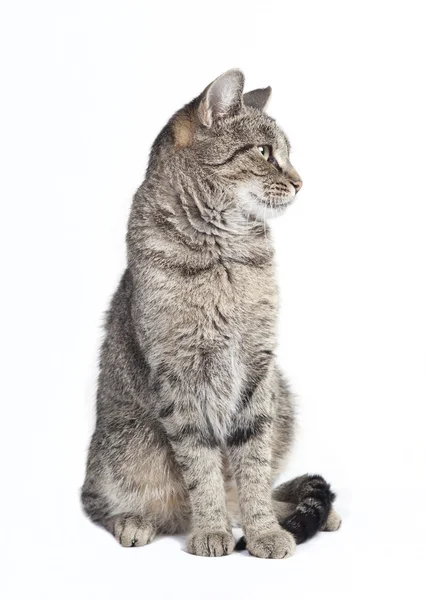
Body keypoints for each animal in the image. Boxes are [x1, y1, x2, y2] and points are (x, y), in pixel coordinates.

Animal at [81, 69, 342, 556]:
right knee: (96, 500)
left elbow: (253, 469)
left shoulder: (258, 369)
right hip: (125, 448)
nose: (300, 182)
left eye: (287, 153)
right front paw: (210, 529)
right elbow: (201, 468)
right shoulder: (179, 375)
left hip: (283, 395)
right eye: (264, 152)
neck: (225, 256)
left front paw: (263, 532)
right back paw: (135, 521)